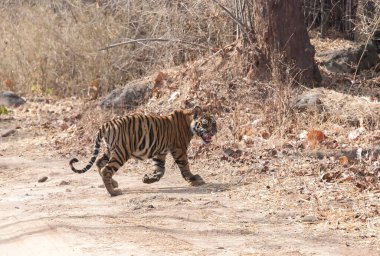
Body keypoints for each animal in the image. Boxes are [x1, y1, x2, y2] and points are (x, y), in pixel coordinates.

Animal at [68, 106, 217, 196]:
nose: (215, 131)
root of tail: (106, 124)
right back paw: (114, 192)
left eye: (214, 123)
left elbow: (160, 170)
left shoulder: (160, 152)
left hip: (110, 150)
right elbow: (185, 166)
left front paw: (149, 179)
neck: (188, 122)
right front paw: (195, 179)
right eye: (205, 124)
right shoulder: (179, 148)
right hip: (122, 152)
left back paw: (114, 184)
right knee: (106, 169)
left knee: (99, 163)